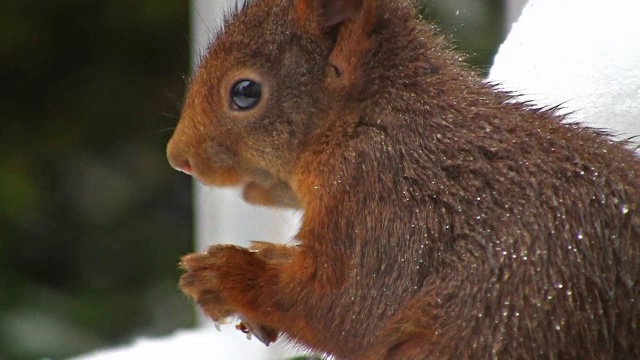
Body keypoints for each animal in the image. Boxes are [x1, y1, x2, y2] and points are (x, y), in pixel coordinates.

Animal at [166, 0, 640, 358]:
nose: (178, 158)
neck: (369, 118)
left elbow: (345, 306)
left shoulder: (382, 199)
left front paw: (223, 274)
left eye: (245, 92)